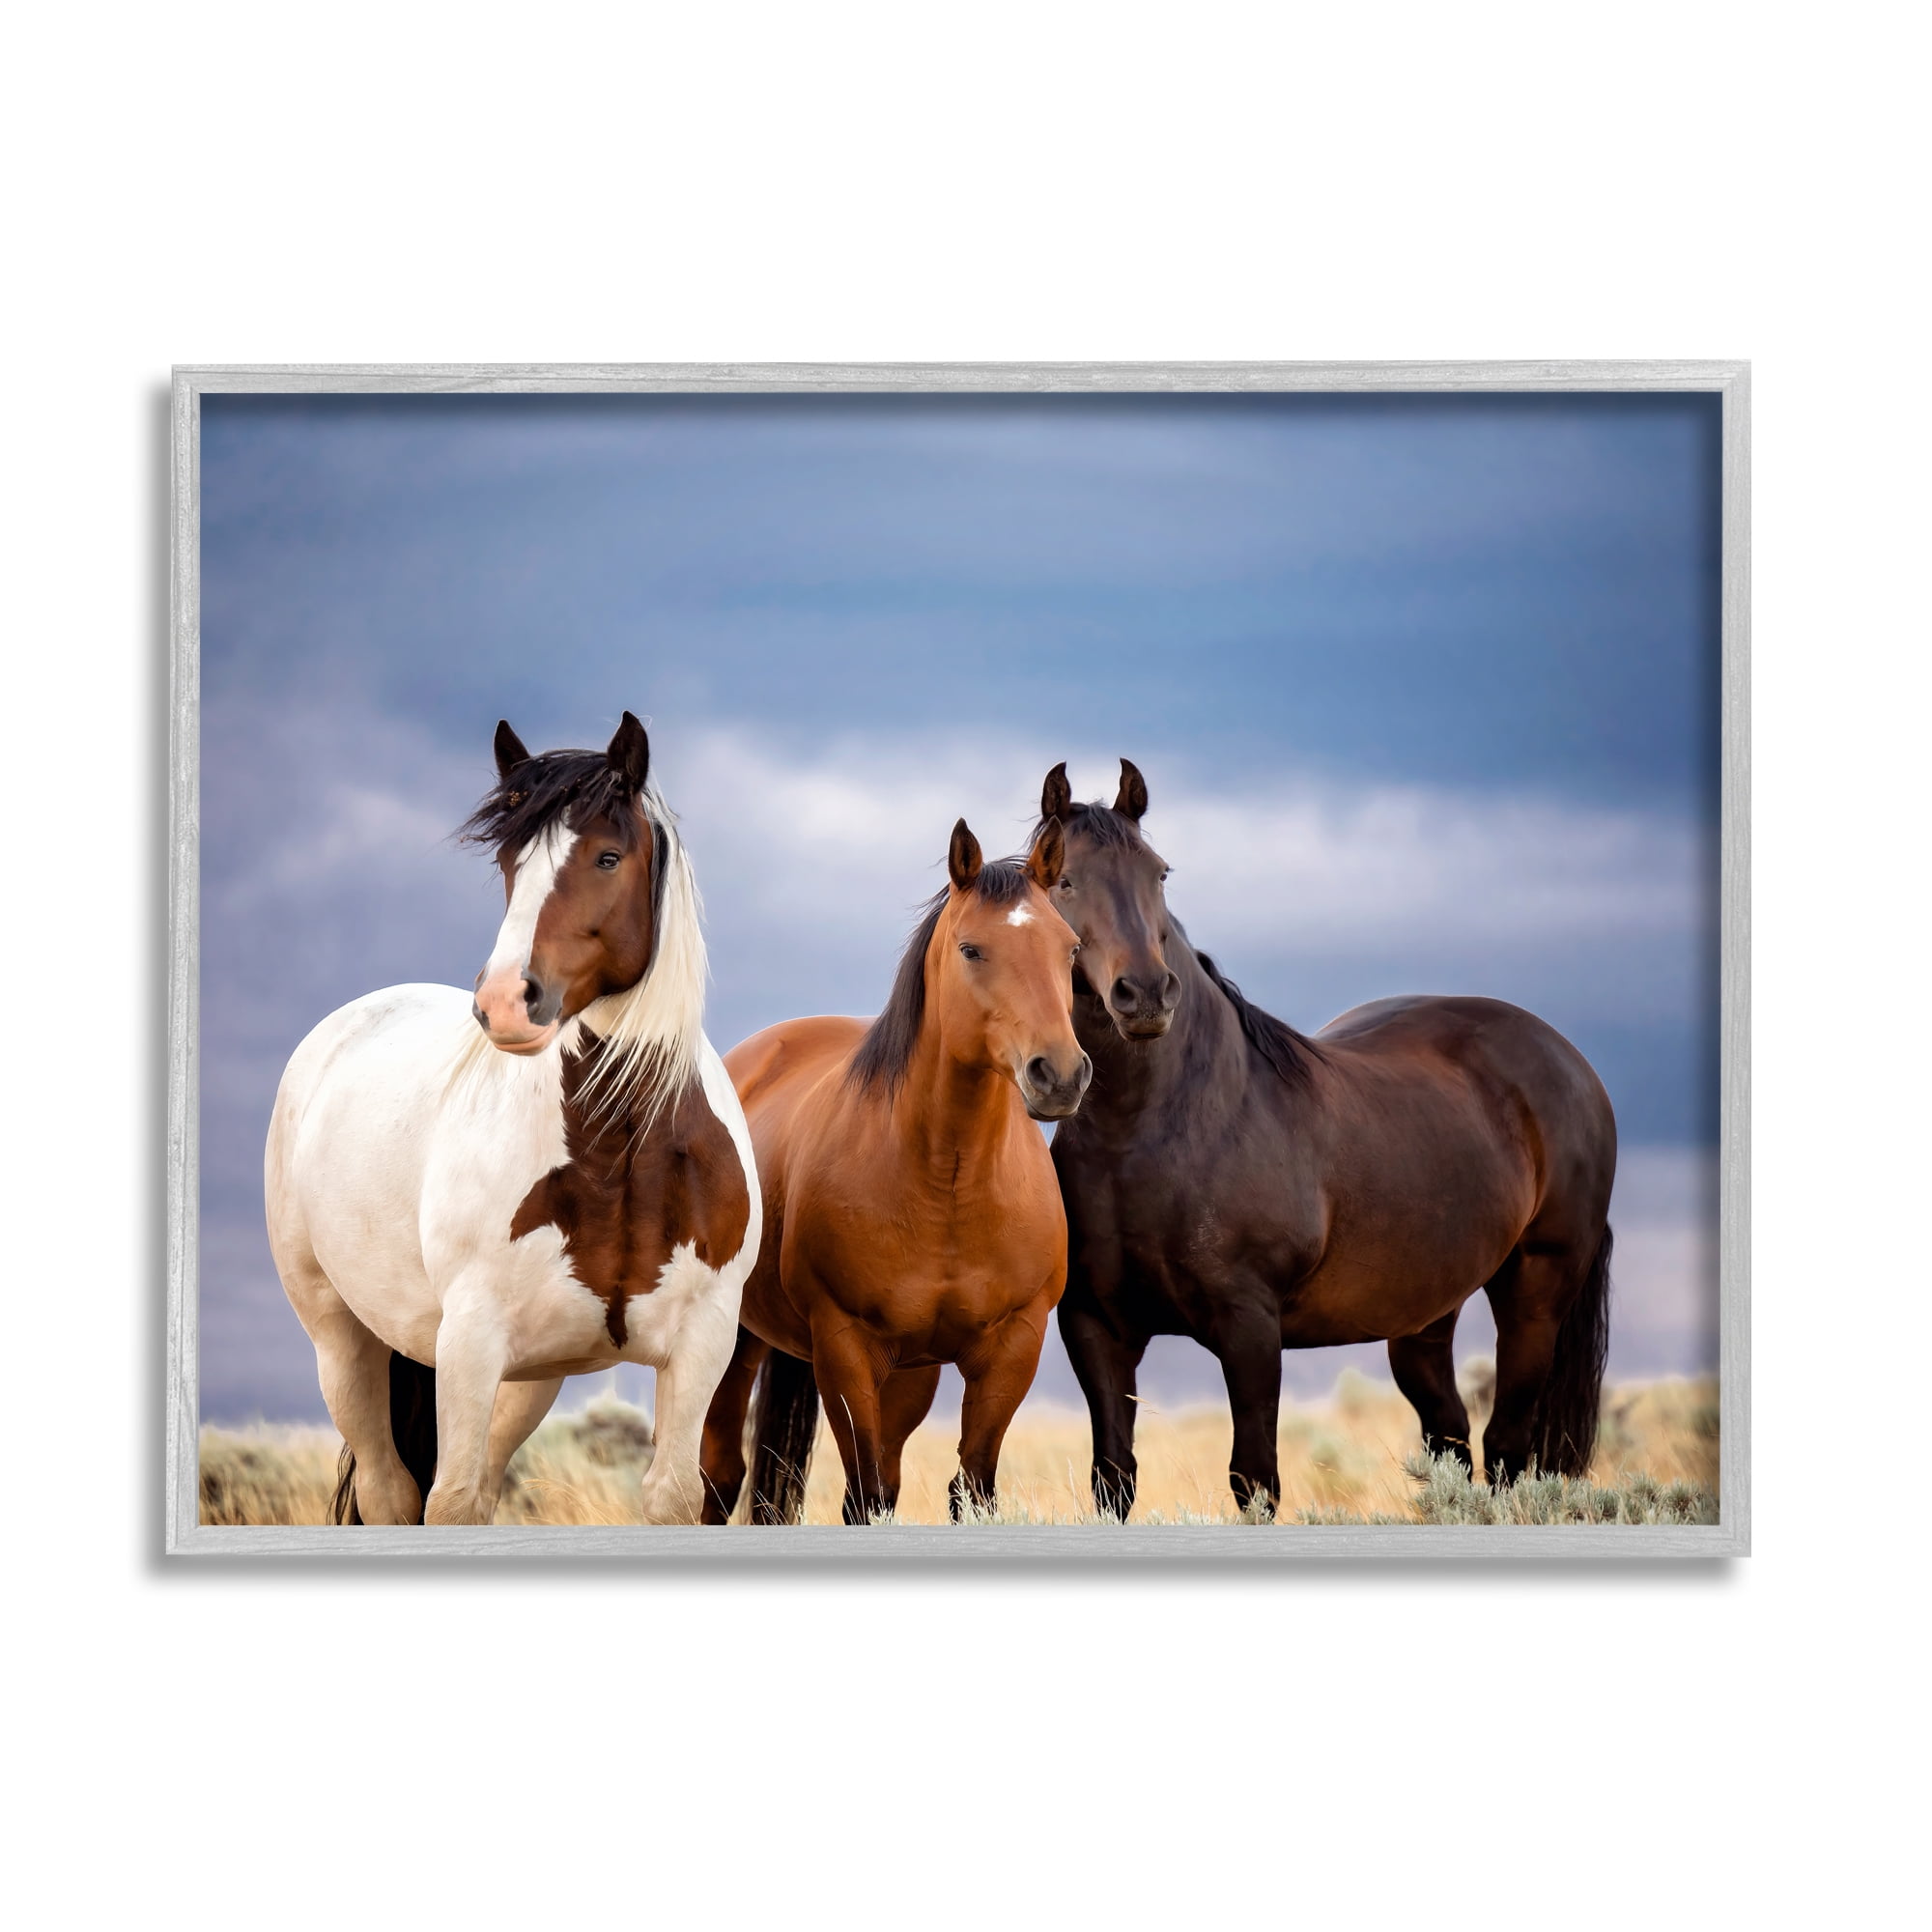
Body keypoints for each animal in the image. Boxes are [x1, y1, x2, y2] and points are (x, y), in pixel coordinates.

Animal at [264, 713, 761, 1526]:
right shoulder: (470, 1340)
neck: (618, 1152)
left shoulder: (702, 1342)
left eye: (607, 856)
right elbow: (452, 1498)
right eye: (508, 859)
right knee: (391, 1490)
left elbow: (674, 1493)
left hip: (529, 1379)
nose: (502, 1002)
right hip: (342, 1341)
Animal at [697, 817, 1089, 1524]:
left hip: (910, 1373)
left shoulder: (1012, 1348)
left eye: (1069, 949)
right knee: (721, 1474)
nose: (1061, 1074)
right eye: (971, 949)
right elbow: (865, 1493)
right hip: (737, 1341)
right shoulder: (846, 1348)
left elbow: (971, 1486)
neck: (950, 1185)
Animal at [1036, 759, 1616, 1516]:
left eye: (1159, 873)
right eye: (1063, 879)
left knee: (1507, 1449)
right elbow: (1115, 1479)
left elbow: (1255, 1481)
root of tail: (1569, 1061)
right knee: (1451, 1440)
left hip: (1535, 1294)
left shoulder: (1250, 1328)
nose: (1147, 995)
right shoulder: (1096, 1328)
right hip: (1424, 1314)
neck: (1149, 1134)